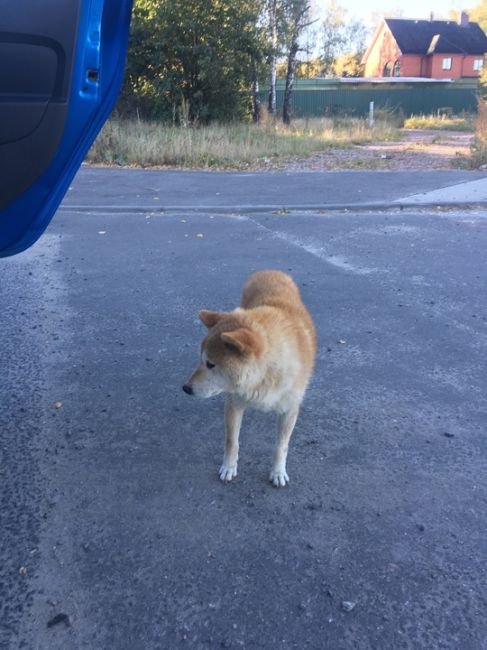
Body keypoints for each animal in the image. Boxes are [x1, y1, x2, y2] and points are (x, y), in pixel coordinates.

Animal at [183, 270, 316, 486]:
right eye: (201, 360)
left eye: (210, 364)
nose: (186, 388)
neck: (263, 377)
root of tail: (270, 270)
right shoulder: (234, 402)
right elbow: (231, 441)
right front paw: (229, 466)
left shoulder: (289, 409)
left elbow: (281, 446)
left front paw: (278, 471)